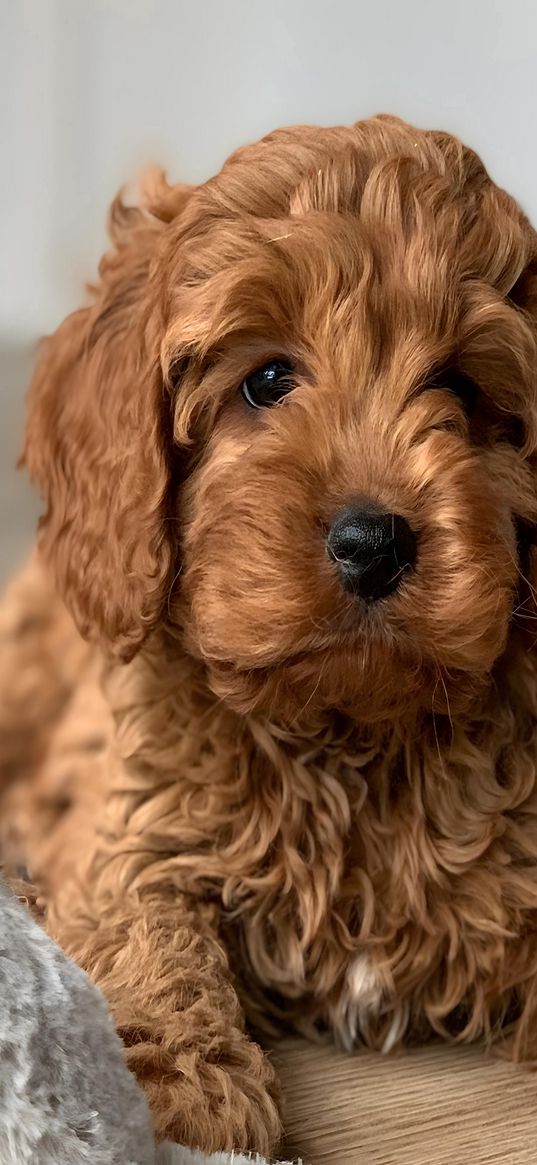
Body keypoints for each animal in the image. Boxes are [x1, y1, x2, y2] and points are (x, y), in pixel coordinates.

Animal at [5, 115, 537, 1155]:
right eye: (266, 381)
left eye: (458, 387)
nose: (372, 542)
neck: (347, 729)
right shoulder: (134, 827)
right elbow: (149, 927)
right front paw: (179, 1082)